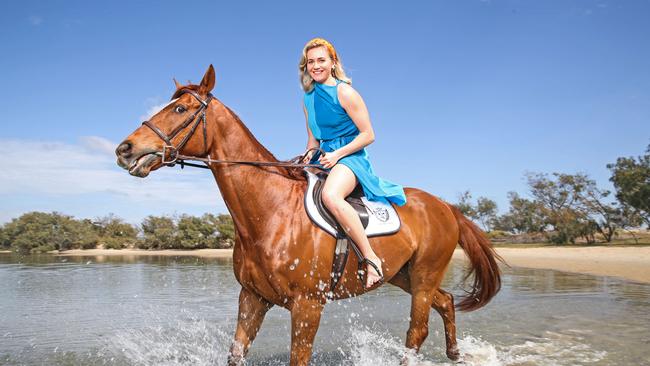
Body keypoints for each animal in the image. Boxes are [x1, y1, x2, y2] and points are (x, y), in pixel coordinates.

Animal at [116, 64, 502, 364]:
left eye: (181, 110)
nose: (124, 149)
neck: (271, 212)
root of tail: (444, 206)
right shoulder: (252, 298)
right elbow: (236, 353)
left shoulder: (307, 307)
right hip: (402, 275)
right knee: (446, 302)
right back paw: (455, 354)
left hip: (423, 276)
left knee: (416, 332)